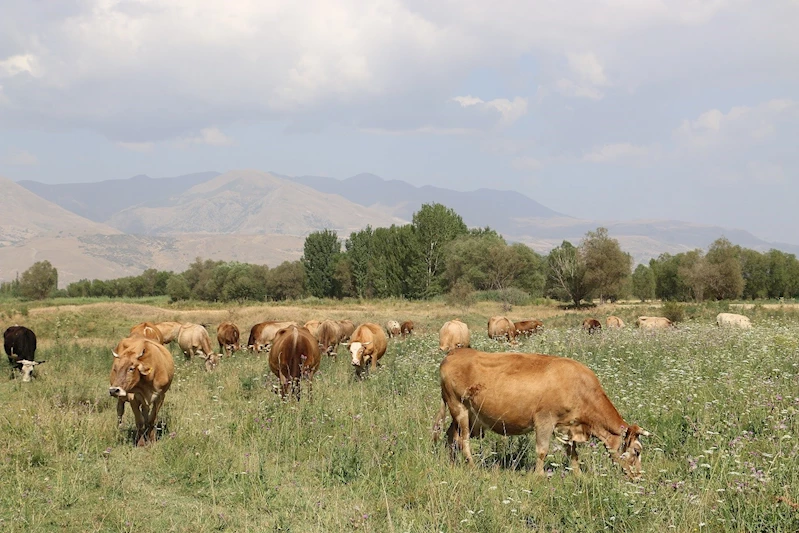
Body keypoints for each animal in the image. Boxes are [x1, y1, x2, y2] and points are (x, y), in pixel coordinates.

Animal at [432, 350, 648, 478]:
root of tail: (454, 353)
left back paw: (452, 464)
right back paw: (473, 467)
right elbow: (542, 450)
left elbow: (573, 453)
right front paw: (538, 476)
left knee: (451, 436)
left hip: (465, 414)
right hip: (459, 407)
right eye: (637, 451)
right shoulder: (545, 420)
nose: (638, 476)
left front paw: (579, 476)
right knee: (463, 440)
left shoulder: (567, 426)